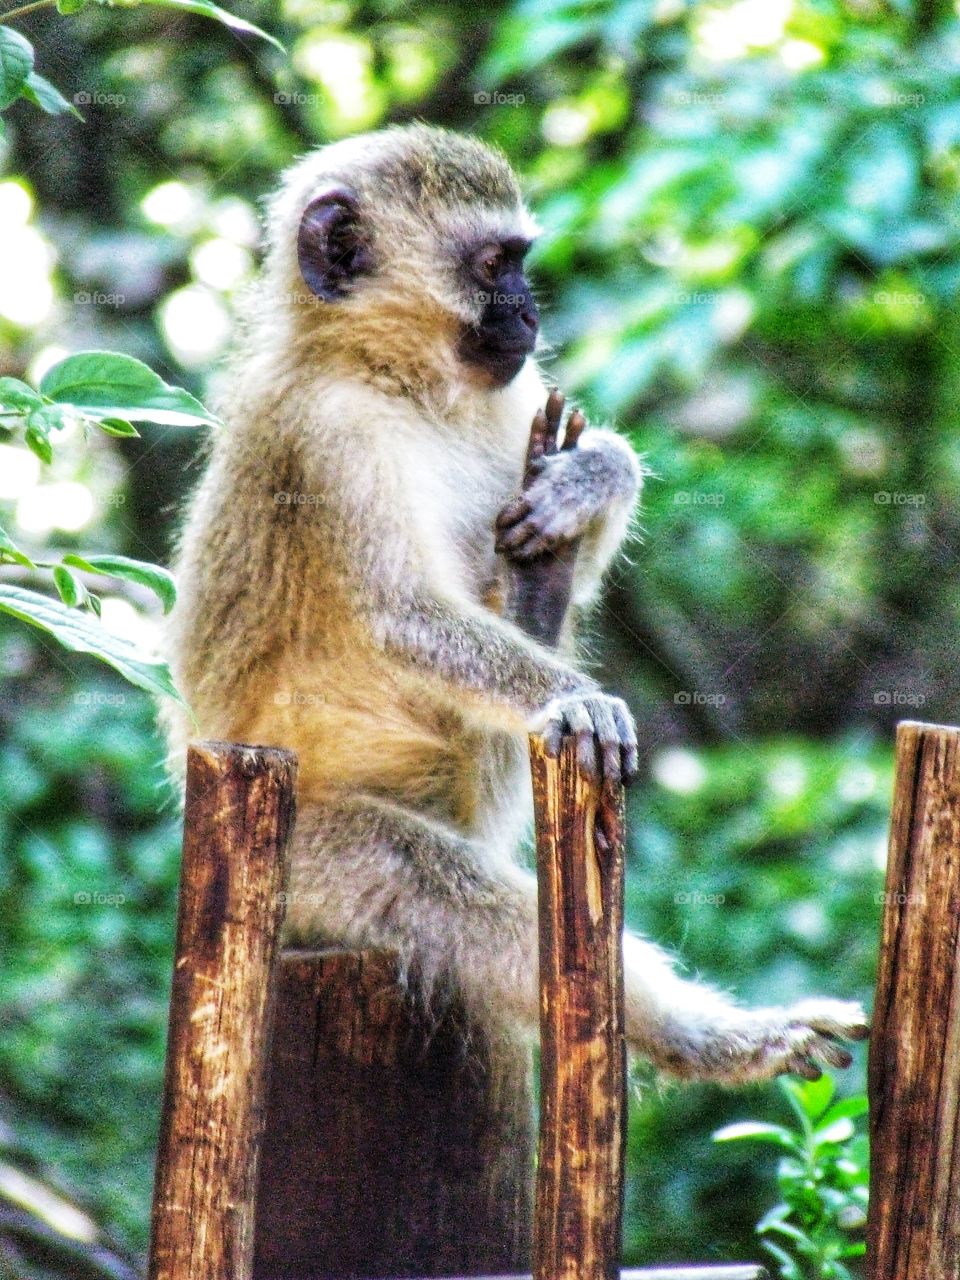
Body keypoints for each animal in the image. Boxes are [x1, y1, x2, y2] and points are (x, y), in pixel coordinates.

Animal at [164, 123, 868, 1086]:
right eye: (495, 265)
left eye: (520, 263)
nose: (531, 313)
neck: (394, 379)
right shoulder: (325, 433)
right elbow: (400, 616)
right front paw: (577, 699)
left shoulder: (513, 396)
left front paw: (595, 478)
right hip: (298, 857)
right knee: (430, 881)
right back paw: (703, 1039)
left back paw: (542, 588)